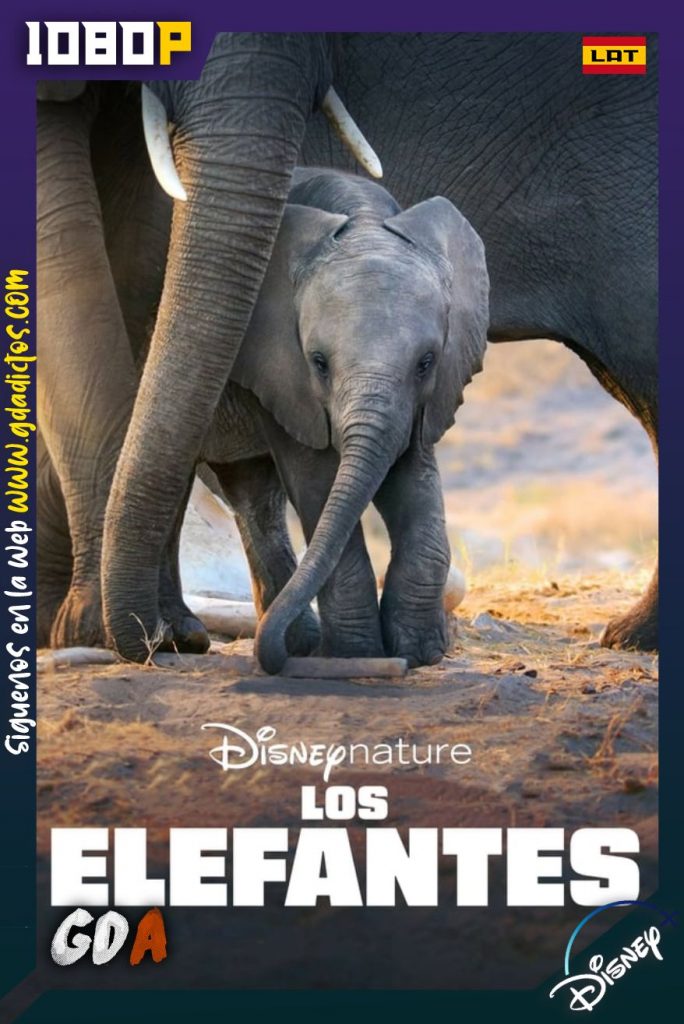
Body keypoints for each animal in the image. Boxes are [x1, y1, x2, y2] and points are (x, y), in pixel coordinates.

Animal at [38, 33, 657, 662]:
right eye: (318, 363)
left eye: (427, 362)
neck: (359, 215)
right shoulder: (286, 373)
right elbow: (317, 477)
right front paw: (362, 652)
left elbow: (411, 472)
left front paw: (417, 649)